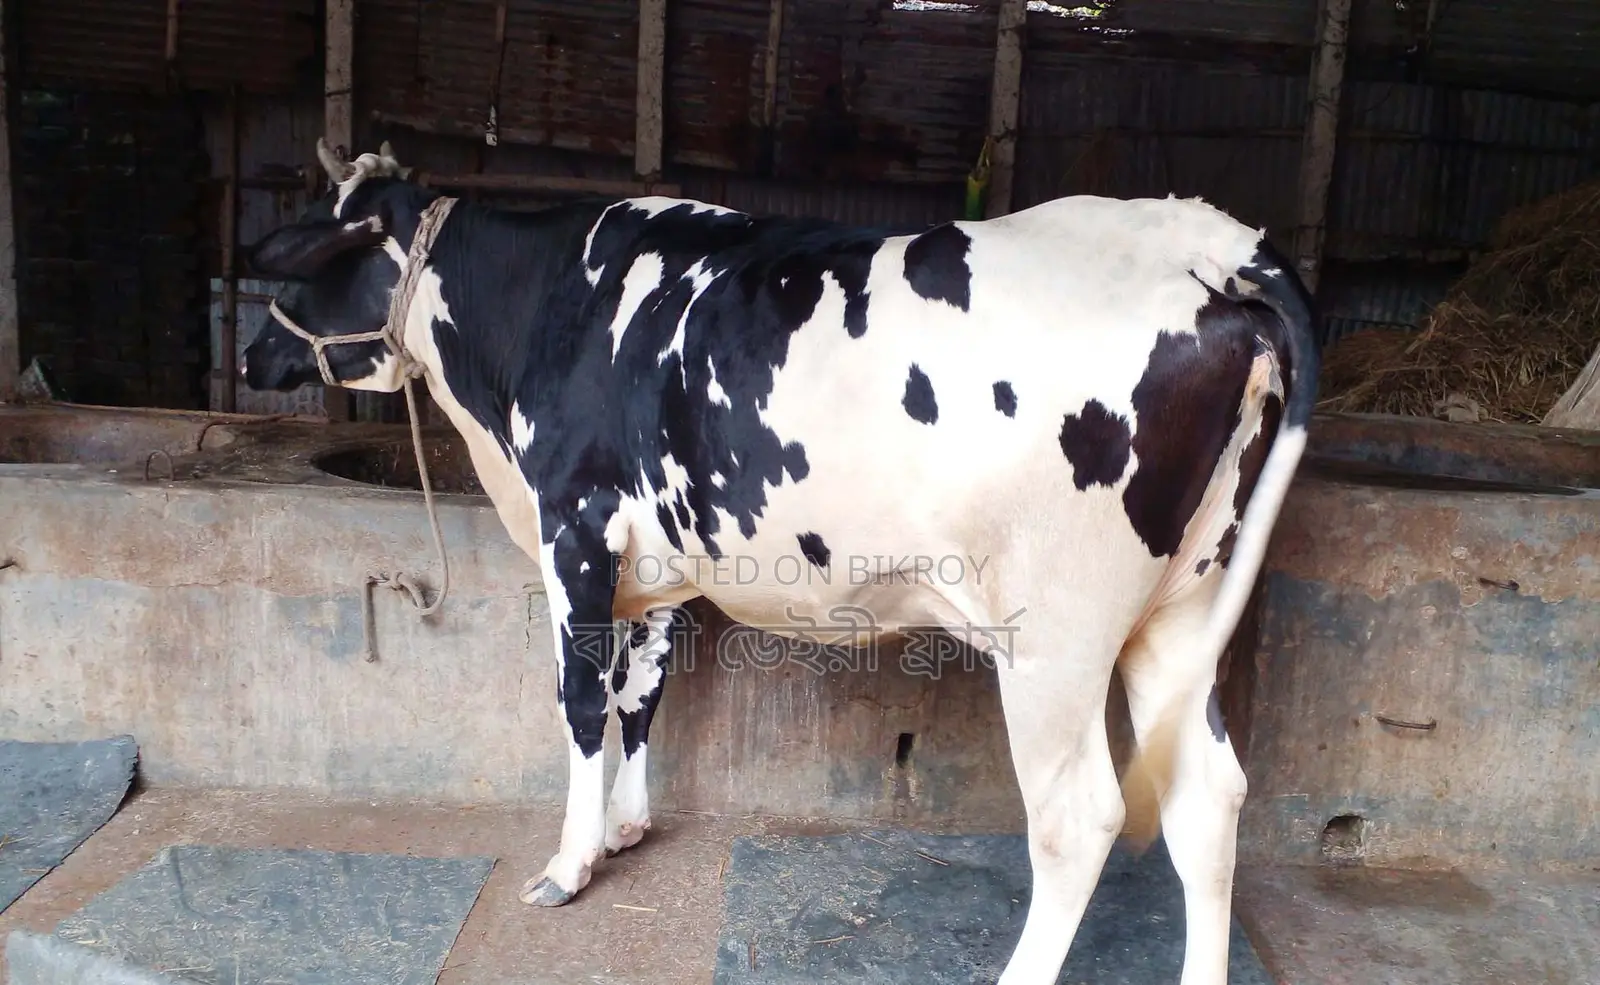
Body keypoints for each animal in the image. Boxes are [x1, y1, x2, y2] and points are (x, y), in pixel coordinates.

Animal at [241, 140, 1319, 985]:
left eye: (301, 273)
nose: (252, 357)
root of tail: (1202, 239)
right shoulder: (658, 561)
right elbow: (644, 691)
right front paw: (628, 826)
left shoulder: (574, 529)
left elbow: (582, 702)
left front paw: (571, 860)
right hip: (1180, 609)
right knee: (1207, 797)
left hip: (1058, 632)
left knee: (1080, 814)